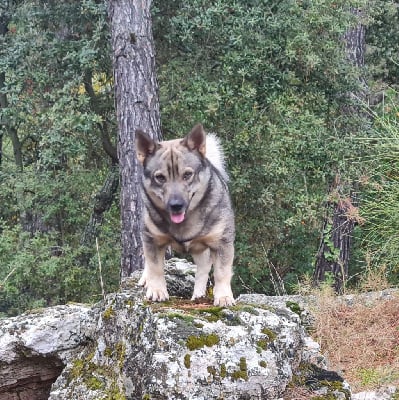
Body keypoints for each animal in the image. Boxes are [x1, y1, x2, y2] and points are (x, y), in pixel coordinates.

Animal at [136, 124, 236, 306]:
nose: (176, 205)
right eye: (160, 177)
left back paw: (199, 295)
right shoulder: (152, 239)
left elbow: (221, 272)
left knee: (203, 270)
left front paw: (224, 297)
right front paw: (157, 290)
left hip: (202, 249)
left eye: (187, 174)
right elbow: (155, 267)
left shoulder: (222, 242)